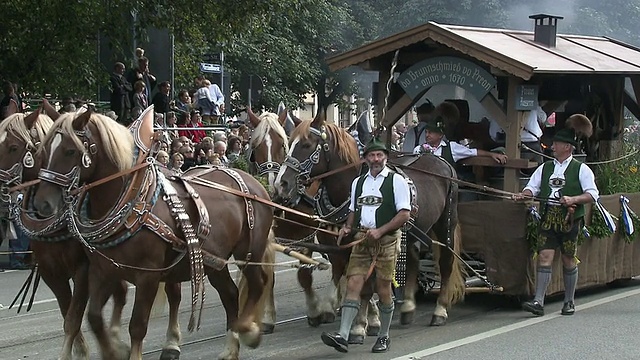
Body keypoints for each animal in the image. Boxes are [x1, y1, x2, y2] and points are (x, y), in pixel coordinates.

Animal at [30, 109, 276, 360]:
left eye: (70, 150)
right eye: (43, 150)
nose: (42, 204)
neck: (130, 202)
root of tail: (255, 183)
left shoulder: (147, 276)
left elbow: (137, 325)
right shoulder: (101, 271)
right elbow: (94, 317)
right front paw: (113, 350)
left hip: (248, 251)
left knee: (258, 283)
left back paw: (248, 330)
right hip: (214, 261)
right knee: (230, 294)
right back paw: (230, 348)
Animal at [274, 111, 464, 328]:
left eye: (306, 144)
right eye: (289, 143)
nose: (281, 184)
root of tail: (441, 161)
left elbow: (362, 280)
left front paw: (366, 320)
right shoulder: (340, 244)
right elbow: (348, 275)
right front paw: (354, 314)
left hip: (446, 222)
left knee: (446, 261)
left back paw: (440, 310)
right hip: (414, 230)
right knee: (413, 261)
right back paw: (407, 307)